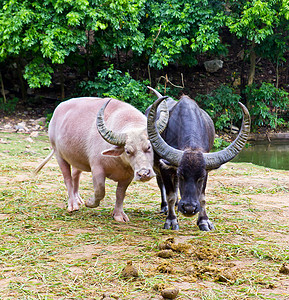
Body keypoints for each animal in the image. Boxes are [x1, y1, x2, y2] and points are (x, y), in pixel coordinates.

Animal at [35, 97, 168, 221]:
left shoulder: (128, 175)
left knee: (75, 175)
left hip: (77, 159)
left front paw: (119, 215)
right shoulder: (97, 168)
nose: (144, 174)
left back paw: (78, 198)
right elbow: (100, 190)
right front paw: (90, 202)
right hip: (59, 154)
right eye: (128, 151)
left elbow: (120, 193)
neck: (119, 161)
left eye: (149, 147)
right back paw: (73, 205)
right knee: (67, 178)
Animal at [146, 88, 250, 231]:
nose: (189, 209)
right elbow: (170, 194)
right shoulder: (165, 168)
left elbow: (202, 197)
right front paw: (171, 220)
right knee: (161, 184)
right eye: (182, 175)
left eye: (200, 177)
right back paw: (165, 207)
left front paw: (204, 221)